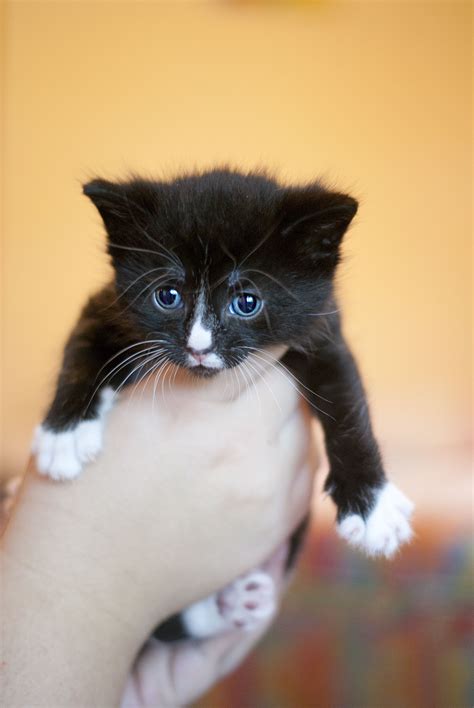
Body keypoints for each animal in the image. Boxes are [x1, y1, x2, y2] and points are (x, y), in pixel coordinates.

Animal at [31, 167, 412, 640]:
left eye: (246, 301)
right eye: (167, 295)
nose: (199, 347)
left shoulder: (322, 330)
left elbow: (347, 404)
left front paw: (373, 503)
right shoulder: (108, 306)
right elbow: (80, 348)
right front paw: (63, 432)